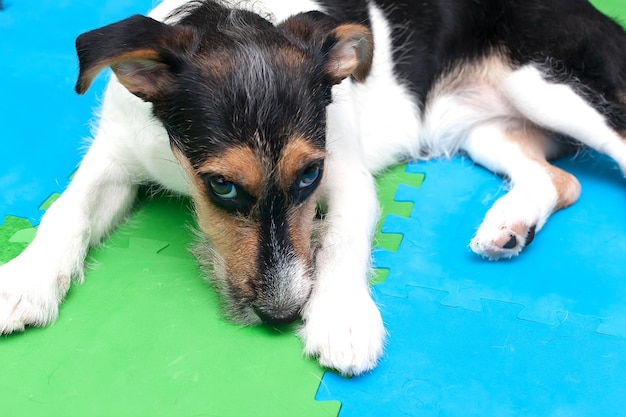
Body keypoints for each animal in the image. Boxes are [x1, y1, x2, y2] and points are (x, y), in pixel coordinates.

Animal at [1, 0, 624, 376]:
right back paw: (508, 226)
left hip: (554, 87)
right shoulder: (114, 155)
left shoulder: (345, 174)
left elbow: (343, 239)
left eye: (308, 176)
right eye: (221, 186)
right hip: (482, 128)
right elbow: (65, 210)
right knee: (561, 179)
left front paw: (342, 317)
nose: (279, 315)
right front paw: (24, 280)